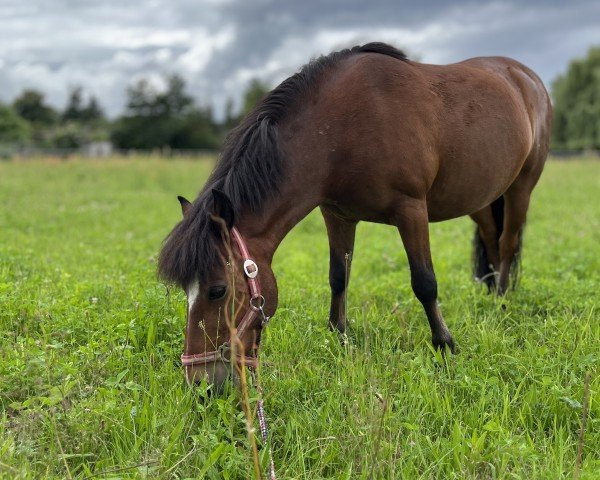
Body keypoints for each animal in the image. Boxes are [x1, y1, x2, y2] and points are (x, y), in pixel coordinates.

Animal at [157, 43, 552, 392]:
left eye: (218, 290)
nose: (199, 384)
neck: (342, 128)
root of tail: (524, 76)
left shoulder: (411, 210)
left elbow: (424, 282)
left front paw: (445, 344)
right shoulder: (337, 215)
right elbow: (338, 276)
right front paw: (339, 334)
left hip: (521, 188)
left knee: (507, 243)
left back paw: (501, 304)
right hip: (482, 198)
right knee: (491, 241)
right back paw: (490, 297)